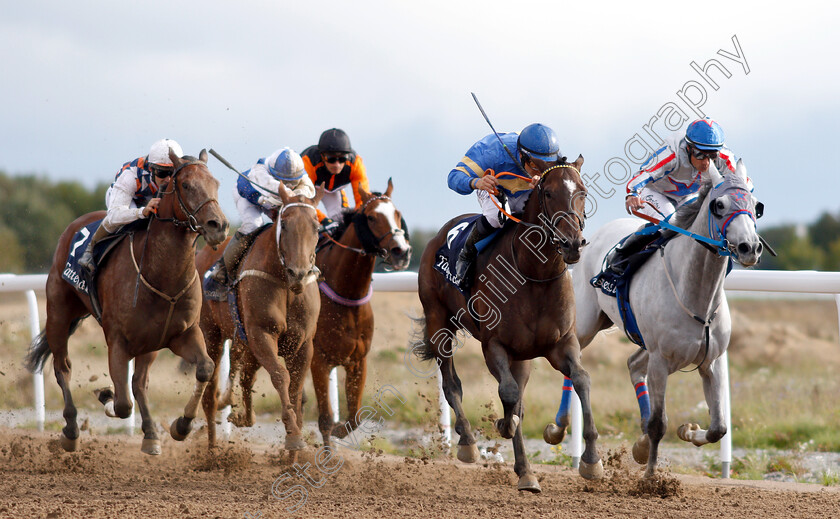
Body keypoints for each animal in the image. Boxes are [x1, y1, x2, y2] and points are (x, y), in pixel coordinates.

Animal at [26, 149, 230, 456]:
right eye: (186, 185)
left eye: (216, 183)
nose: (218, 226)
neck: (162, 276)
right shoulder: (117, 341)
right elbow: (122, 403)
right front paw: (106, 395)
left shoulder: (181, 334)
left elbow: (204, 368)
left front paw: (181, 426)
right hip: (59, 313)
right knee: (63, 369)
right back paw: (71, 430)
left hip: (150, 344)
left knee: (139, 383)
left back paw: (151, 435)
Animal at [197, 187, 324, 460]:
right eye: (284, 224)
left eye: (316, 226)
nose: (299, 273)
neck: (285, 282)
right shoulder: (261, 335)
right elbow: (280, 377)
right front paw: (293, 437)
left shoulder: (303, 344)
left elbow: (296, 389)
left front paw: (292, 458)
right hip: (211, 334)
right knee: (210, 392)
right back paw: (211, 451)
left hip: (244, 342)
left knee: (245, 378)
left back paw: (240, 416)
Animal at [310, 180, 412, 446]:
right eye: (371, 217)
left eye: (397, 214)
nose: (401, 252)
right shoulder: (319, 361)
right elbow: (325, 418)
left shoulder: (357, 361)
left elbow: (354, 417)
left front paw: (339, 429)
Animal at [410, 156, 600, 494]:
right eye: (548, 193)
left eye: (583, 191)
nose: (573, 243)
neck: (534, 274)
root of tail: (437, 236)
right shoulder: (494, 345)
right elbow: (510, 396)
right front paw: (503, 425)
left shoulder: (561, 344)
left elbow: (580, 379)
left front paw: (591, 460)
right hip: (437, 321)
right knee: (451, 383)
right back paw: (468, 442)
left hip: (521, 356)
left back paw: (525, 470)